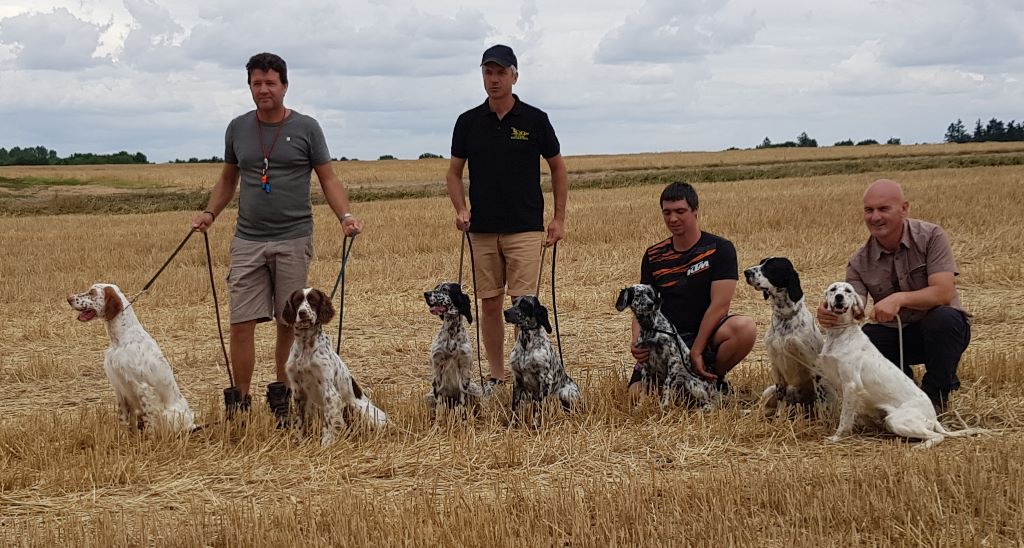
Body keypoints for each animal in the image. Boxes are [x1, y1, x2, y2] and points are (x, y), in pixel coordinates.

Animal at [69, 282, 196, 432]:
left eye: (92, 292)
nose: (69, 298)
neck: (120, 339)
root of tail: (192, 424)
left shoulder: (143, 388)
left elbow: (149, 421)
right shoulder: (119, 387)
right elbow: (123, 418)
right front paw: (122, 436)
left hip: (170, 414)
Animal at [280, 286, 387, 446]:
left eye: (312, 300)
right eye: (297, 301)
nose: (302, 313)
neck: (306, 346)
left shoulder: (329, 392)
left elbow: (329, 422)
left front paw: (326, 445)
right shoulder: (298, 391)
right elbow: (299, 422)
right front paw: (298, 442)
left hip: (356, 407)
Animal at [501, 294, 581, 424]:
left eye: (524, 304)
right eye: (514, 302)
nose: (505, 312)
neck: (526, 344)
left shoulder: (545, 379)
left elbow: (538, 408)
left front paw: (535, 424)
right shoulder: (517, 379)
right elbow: (515, 406)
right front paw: (512, 424)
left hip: (565, 392)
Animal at [745, 257, 831, 415]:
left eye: (770, 267)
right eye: (761, 262)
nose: (746, 272)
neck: (785, 318)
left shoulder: (813, 364)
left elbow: (821, 400)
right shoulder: (776, 366)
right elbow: (781, 400)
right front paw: (780, 418)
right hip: (769, 391)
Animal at [815, 282, 983, 450]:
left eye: (848, 291)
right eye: (833, 289)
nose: (839, 297)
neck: (840, 335)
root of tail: (933, 418)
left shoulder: (851, 385)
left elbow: (844, 417)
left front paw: (837, 437)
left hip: (896, 420)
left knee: (938, 436)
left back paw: (920, 447)